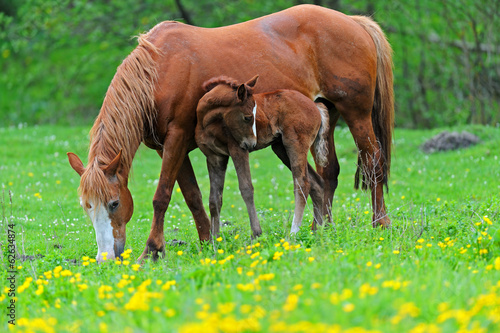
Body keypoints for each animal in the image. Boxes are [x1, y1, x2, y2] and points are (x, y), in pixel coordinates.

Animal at [194, 75, 328, 236]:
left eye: (253, 116)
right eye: (247, 117)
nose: (252, 144)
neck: (207, 123)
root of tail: (315, 106)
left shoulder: (238, 150)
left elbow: (246, 189)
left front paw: (256, 234)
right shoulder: (214, 157)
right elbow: (214, 199)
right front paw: (214, 239)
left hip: (295, 144)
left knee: (302, 183)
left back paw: (294, 232)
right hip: (280, 148)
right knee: (317, 183)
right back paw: (318, 232)